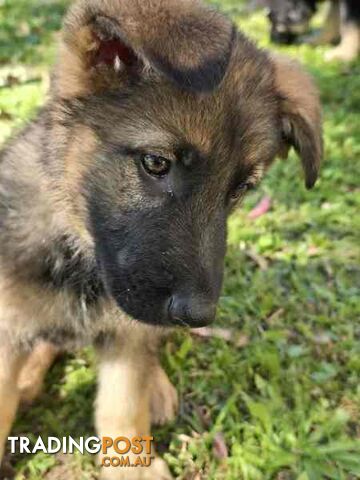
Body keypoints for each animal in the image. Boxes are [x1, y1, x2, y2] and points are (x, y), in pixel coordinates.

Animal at [0, 0, 322, 476]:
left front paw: (133, 464)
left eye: (241, 189)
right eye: (156, 162)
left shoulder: (128, 334)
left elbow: (122, 406)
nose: (198, 315)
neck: (79, 258)